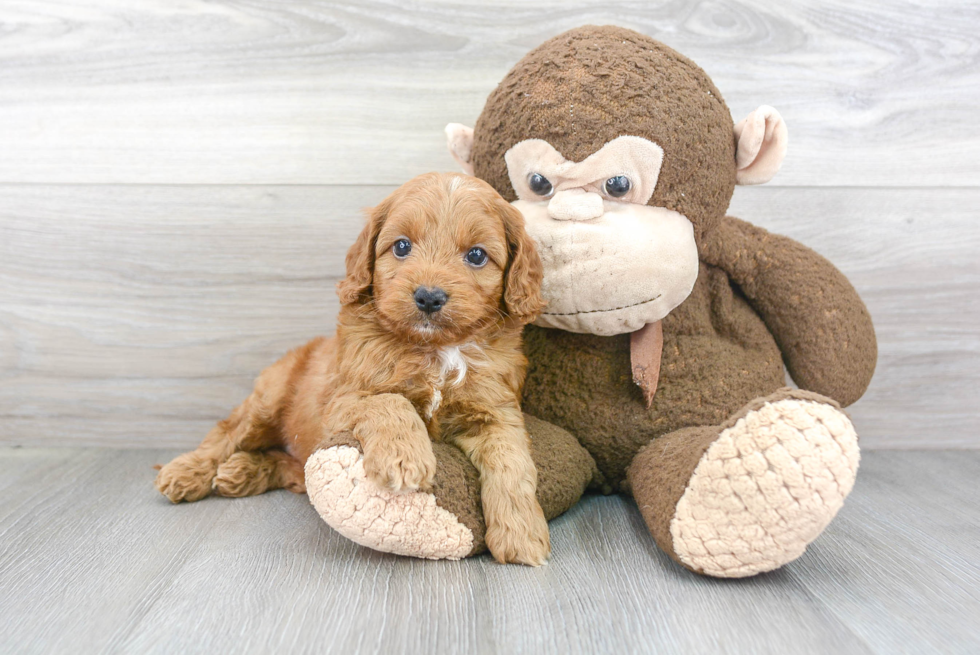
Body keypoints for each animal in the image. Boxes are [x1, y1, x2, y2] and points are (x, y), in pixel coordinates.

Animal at [157, 172, 548, 568]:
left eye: (477, 255)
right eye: (401, 246)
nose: (428, 297)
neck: (435, 349)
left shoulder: (495, 412)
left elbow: (512, 462)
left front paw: (521, 534)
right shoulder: (343, 399)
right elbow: (390, 401)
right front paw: (404, 458)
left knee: (292, 467)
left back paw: (242, 471)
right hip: (267, 401)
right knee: (226, 433)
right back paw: (186, 472)